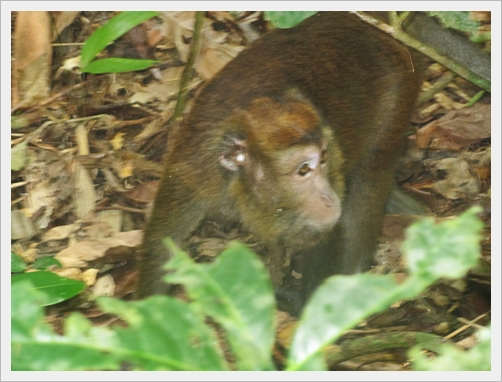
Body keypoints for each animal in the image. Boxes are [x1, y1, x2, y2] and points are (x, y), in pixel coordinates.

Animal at [137, 11, 424, 314]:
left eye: (323, 158)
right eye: (303, 169)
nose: (329, 199)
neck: (239, 188)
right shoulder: (193, 173)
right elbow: (161, 246)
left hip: (400, 89)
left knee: (368, 177)